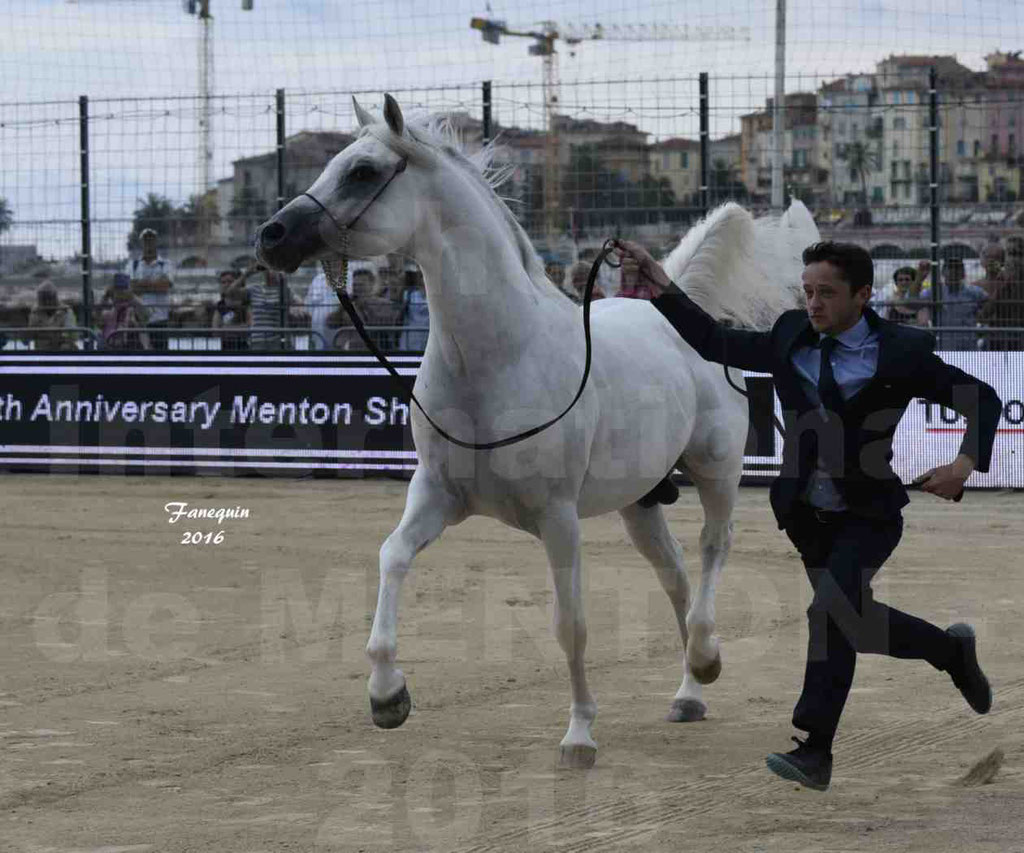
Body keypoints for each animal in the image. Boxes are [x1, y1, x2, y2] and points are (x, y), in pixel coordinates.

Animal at [260, 94, 819, 770]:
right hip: (639, 502)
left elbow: (569, 625)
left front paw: (579, 735)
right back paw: (689, 691)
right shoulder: (437, 495)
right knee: (676, 573)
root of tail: (684, 314)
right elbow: (392, 558)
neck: (497, 360)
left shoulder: (558, 518)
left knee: (714, 548)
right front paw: (387, 695)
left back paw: (706, 658)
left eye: (362, 171)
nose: (271, 236)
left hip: (716, 471)